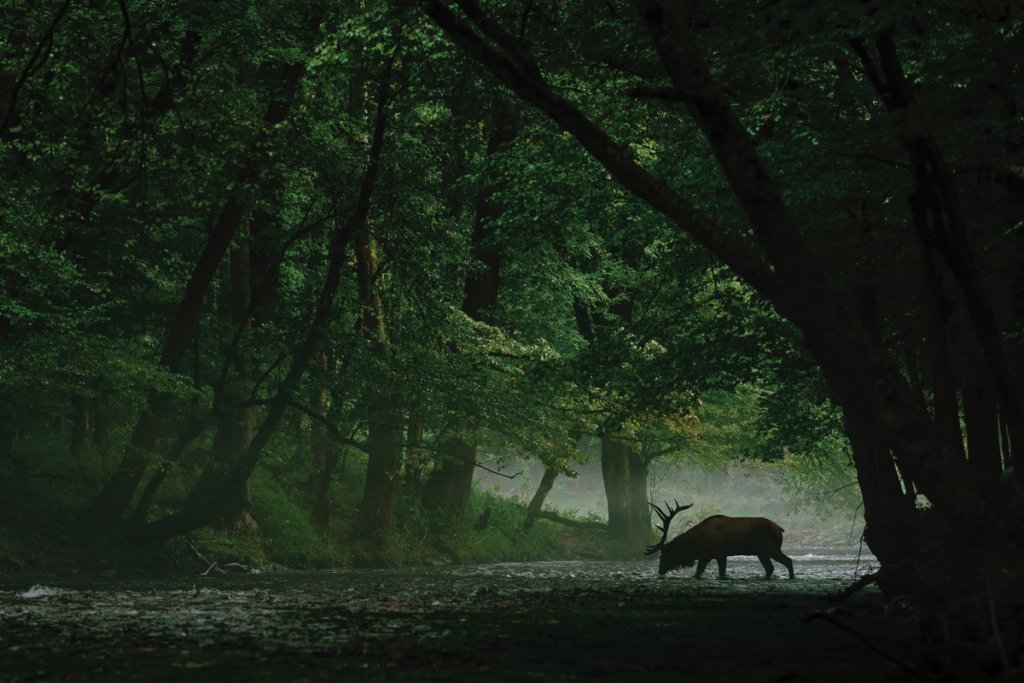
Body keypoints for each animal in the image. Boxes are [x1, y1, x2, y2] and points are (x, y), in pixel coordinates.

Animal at [643, 499, 794, 581]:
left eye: (665, 554)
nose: (660, 570)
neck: (695, 545)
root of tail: (780, 529)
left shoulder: (719, 554)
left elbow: (720, 573)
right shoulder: (706, 556)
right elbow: (698, 573)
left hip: (771, 549)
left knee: (788, 561)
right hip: (762, 553)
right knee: (770, 568)